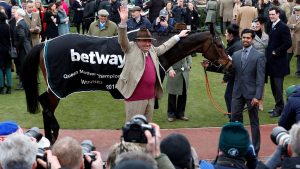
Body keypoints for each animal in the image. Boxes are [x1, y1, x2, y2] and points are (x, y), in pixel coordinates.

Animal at [21, 25, 232, 144]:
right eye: (219, 45)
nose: (229, 62)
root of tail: (44, 43)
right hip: (58, 86)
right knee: (47, 106)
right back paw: (53, 134)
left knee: (45, 105)